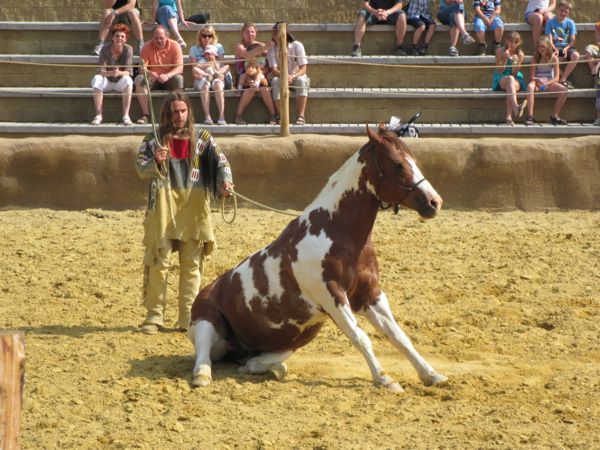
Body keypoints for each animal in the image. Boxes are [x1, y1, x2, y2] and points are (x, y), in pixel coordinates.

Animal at [190, 125, 448, 392]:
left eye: (414, 161)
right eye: (397, 164)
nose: (434, 202)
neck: (335, 232)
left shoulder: (371, 296)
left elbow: (399, 337)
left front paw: (431, 375)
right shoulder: (332, 295)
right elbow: (361, 338)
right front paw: (384, 378)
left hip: (295, 340)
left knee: (257, 361)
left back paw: (267, 368)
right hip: (206, 322)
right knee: (204, 353)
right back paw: (202, 374)